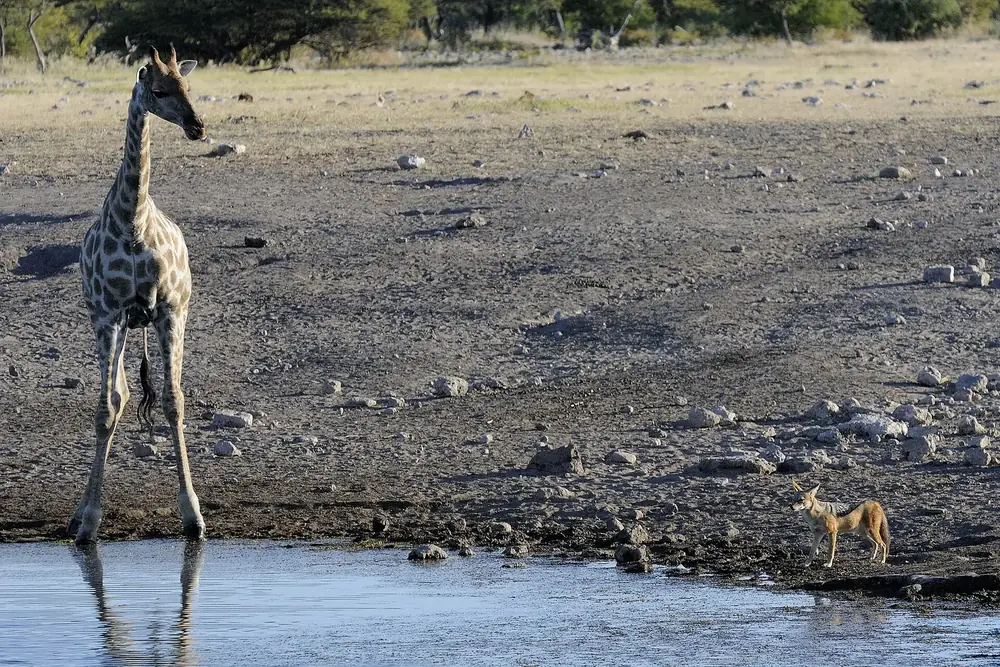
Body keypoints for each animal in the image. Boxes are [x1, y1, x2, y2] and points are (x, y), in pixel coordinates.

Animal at [70, 45, 207, 545]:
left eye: (188, 86)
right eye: (160, 91)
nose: (197, 126)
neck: (132, 223)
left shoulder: (170, 311)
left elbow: (174, 402)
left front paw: (193, 516)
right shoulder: (107, 315)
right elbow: (104, 409)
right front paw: (89, 521)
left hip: (149, 320)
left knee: (133, 393)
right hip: (117, 324)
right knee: (120, 394)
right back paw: (78, 515)